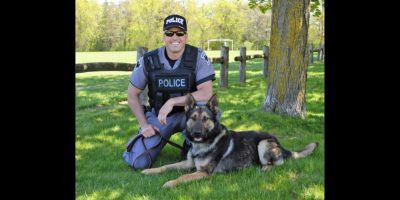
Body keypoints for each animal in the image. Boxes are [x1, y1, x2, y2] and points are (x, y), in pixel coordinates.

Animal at [141, 94, 318, 188]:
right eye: (193, 118)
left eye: (205, 119)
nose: (197, 133)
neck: (203, 144)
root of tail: (280, 144)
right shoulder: (188, 164)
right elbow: (166, 166)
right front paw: (150, 171)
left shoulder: (203, 173)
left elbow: (182, 177)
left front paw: (170, 183)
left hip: (263, 144)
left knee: (275, 164)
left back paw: (264, 169)